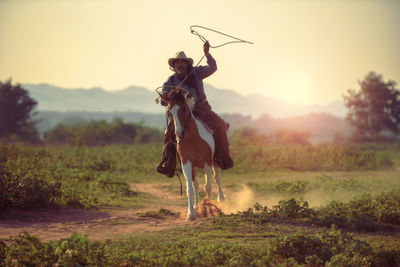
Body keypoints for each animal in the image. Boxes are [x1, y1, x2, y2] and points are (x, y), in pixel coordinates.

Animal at [162, 88, 225, 222]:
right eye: (169, 112)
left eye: (183, 108)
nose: (179, 133)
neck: (193, 139)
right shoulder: (186, 163)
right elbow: (190, 188)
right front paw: (191, 214)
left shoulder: (207, 163)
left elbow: (208, 186)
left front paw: (209, 208)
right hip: (193, 167)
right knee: (196, 184)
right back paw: (196, 206)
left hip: (215, 161)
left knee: (217, 178)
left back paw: (221, 198)